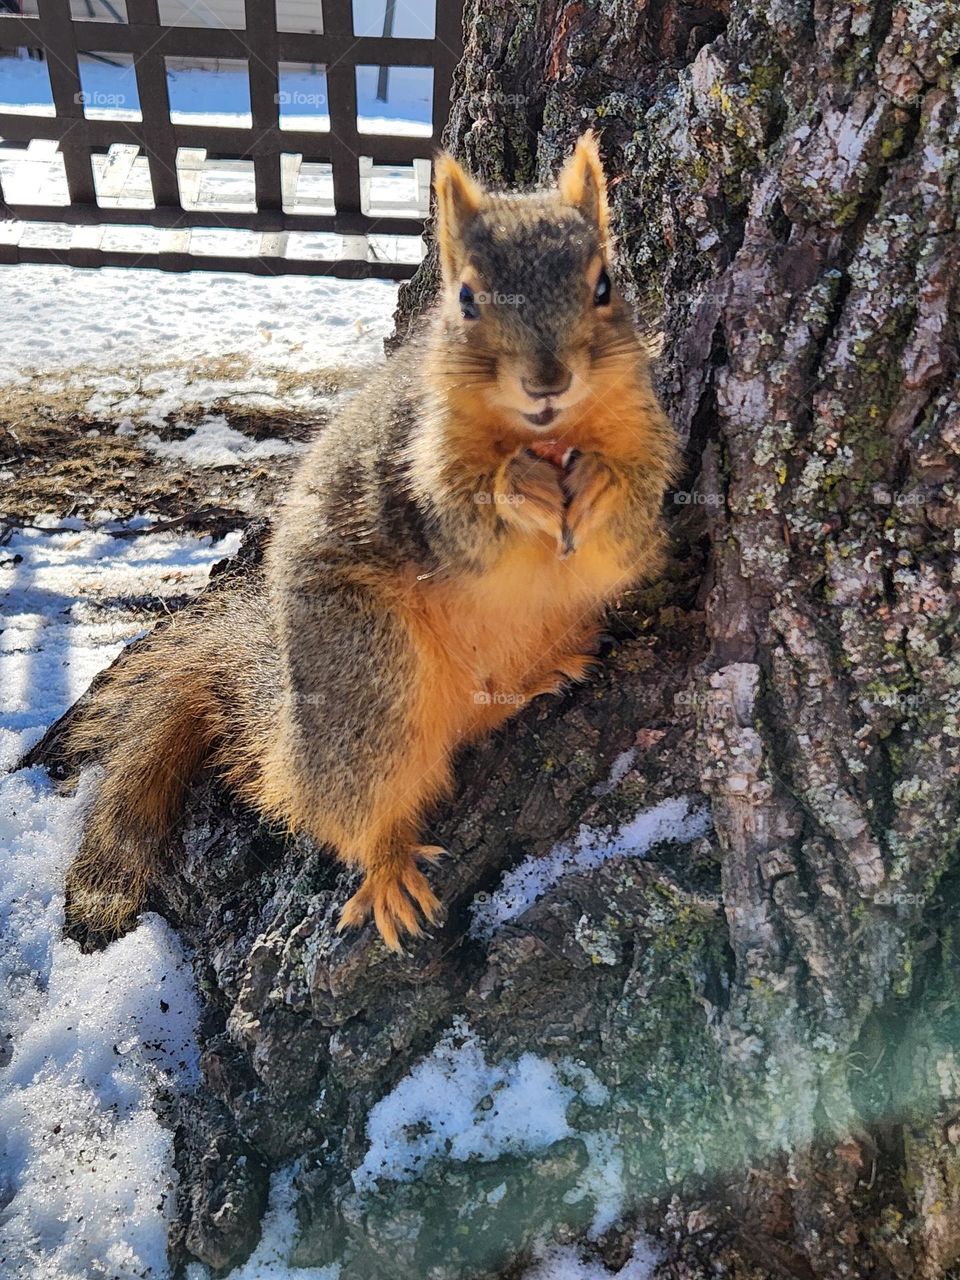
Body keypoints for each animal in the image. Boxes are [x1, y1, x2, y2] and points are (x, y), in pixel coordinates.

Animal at [63, 132, 680, 953]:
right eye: (466, 298)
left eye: (604, 284)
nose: (548, 380)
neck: (546, 439)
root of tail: (292, 743)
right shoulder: (412, 477)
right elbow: (467, 523)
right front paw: (518, 487)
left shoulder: (648, 446)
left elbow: (628, 537)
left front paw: (602, 483)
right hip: (370, 671)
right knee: (358, 809)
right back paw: (387, 869)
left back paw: (544, 673)